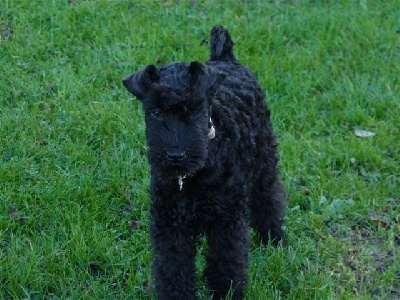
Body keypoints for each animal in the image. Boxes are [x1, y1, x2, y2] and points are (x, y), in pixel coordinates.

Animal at [122, 25, 284, 300]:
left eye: (195, 109)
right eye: (155, 112)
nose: (176, 155)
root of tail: (225, 58)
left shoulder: (226, 220)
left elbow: (226, 263)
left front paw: (226, 293)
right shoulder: (170, 225)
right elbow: (173, 268)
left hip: (265, 159)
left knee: (269, 197)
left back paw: (274, 237)